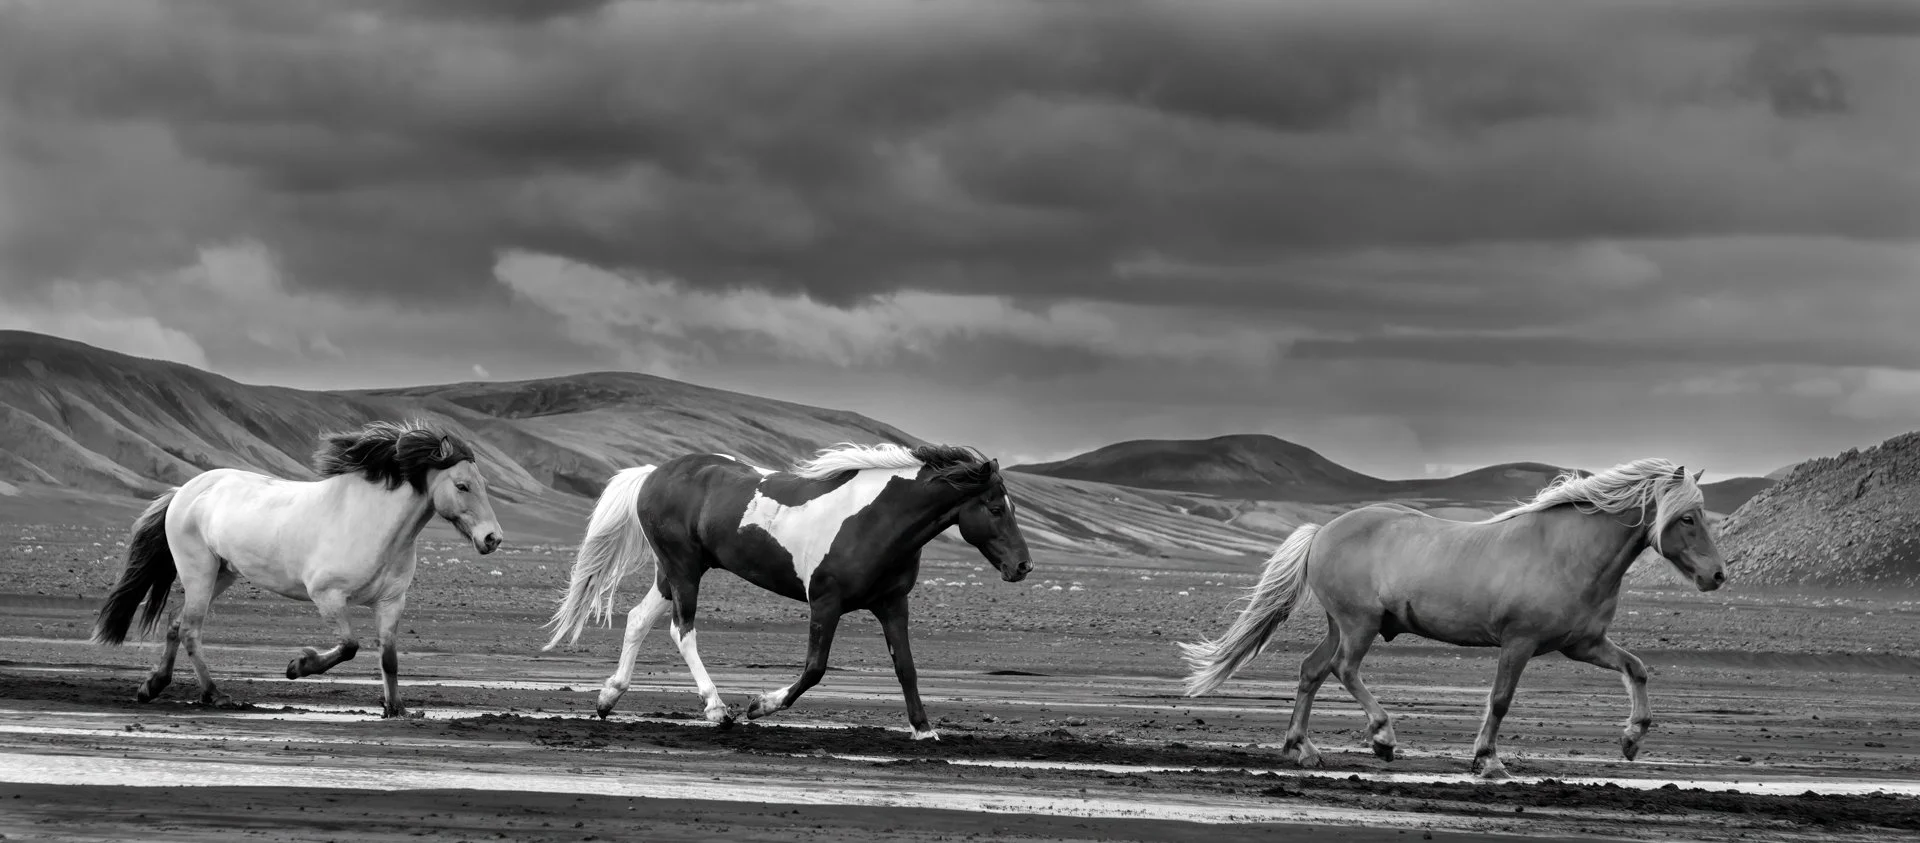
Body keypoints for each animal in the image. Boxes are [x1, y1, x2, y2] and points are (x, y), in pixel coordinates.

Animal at [91, 420, 505, 718]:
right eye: (462, 486)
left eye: (483, 484)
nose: (492, 538)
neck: (375, 525)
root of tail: (184, 491)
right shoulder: (327, 596)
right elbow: (350, 646)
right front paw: (297, 665)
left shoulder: (391, 602)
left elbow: (388, 658)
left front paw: (397, 709)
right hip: (199, 570)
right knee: (191, 628)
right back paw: (215, 695)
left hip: (222, 573)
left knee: (178, 624)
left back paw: (153, 686)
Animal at [543, 443, 1033, 739]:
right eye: (994, 508)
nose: (1023, 566)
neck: (874, 520)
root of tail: (651, 474)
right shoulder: (826, 602)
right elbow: (815, 669)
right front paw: (758, 705)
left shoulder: (893, 604)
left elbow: (906, 669)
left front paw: (924, 729)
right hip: (683, 570)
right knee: (682, 632)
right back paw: (717, 710)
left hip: (673, 571)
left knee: (638, 620)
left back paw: (608, 698)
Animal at [1179, 458, 1726, 779]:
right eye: (1686, 518)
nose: (1717, 575)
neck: (1569, 554)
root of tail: (1322, 532)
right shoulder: (1519, 642)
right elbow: (1501, 700)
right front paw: (1489, 761)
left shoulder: (1583, 644)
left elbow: (1637, 668)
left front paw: (1632, 739)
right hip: (1359, 624)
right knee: (1343, 670)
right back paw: (1383, 737)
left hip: (1342, 624)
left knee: (1312, 671)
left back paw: (1303, 749)